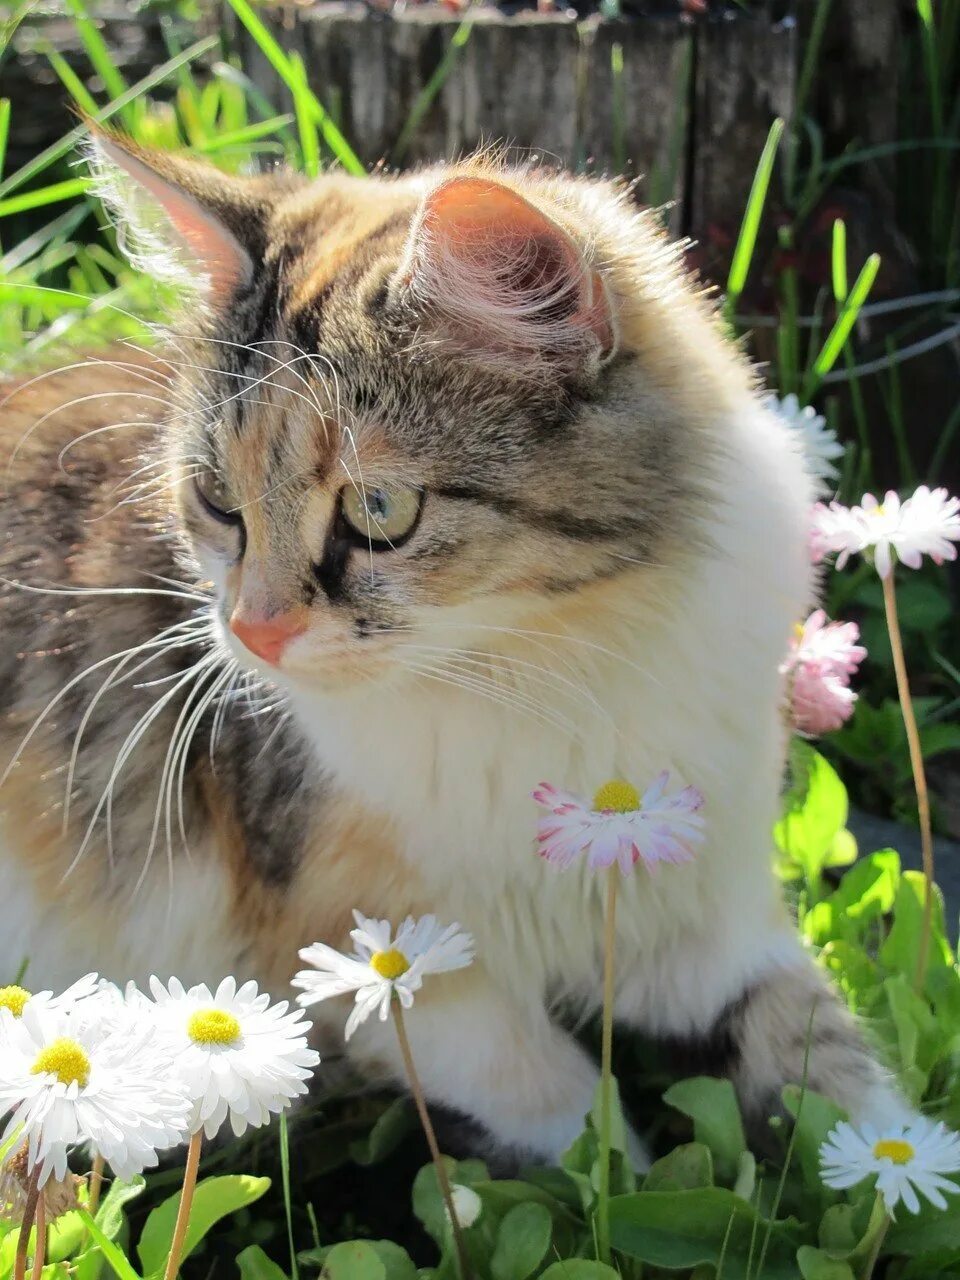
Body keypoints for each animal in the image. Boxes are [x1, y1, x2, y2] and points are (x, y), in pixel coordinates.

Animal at [0, 137, 911, 1162]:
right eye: (218, 501)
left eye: (379, 509)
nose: (251, 631)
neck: (558, 670)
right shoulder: (370, 957)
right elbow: (567, 1105)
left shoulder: (705, 917)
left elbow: (833, 1075)